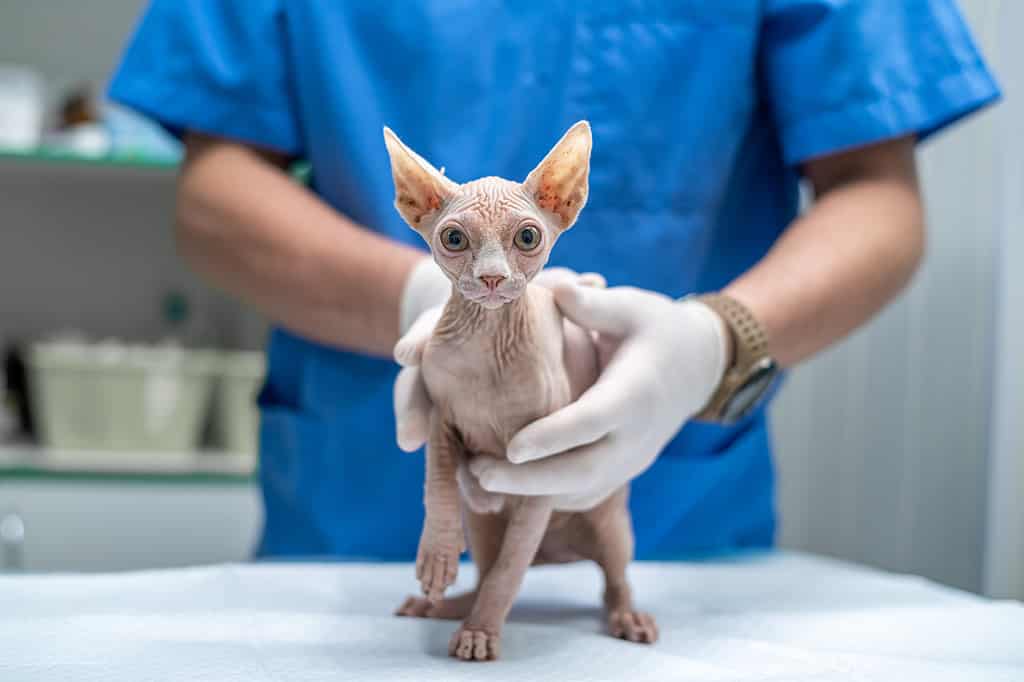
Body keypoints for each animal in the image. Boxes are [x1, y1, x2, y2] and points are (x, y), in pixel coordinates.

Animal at [385, 122, 655, 659]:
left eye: (528, 236)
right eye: (453, 238)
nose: (492, 277)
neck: (486, 347)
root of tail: (560, 552)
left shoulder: (538, 469)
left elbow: (510, 569)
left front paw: (481, 631)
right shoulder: (441, 418)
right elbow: (439, 482)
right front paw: (438, 555)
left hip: (609, 517)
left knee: (613, 576)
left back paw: (627, 614)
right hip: (484, 519)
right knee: (486, 558)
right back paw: (447, 604)